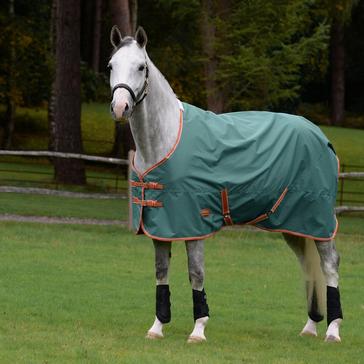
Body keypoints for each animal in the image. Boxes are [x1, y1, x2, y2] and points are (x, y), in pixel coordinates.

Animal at [108, 26, 344, 344]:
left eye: (141, 67)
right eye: (111, 66)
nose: (121, 107)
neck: (165, 139)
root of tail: (321, 137)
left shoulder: (193, 223)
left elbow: (196, 273)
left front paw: (198, 330)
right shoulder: (160, 225)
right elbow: (161, 272)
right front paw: (157, 327)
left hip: (318, 221)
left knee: (329, 265)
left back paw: (333, 330)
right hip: (295, 225)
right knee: (308, 265)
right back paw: (309, 327)